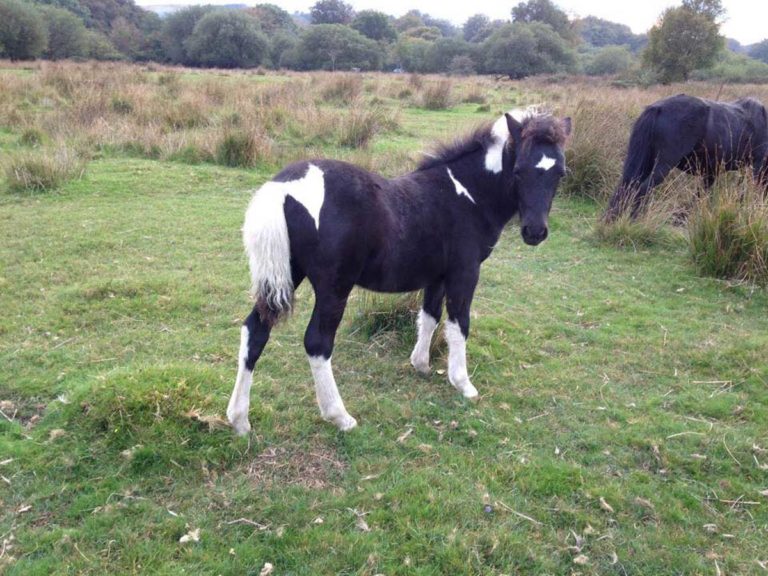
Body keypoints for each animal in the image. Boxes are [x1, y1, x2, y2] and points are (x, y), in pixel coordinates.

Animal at [226, 109, 572, 434]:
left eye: (560, 173)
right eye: (518, 171)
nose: (535, 232)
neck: (468, 194)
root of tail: (282, 188)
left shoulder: (437, 276)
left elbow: (430, 316)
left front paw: (421, 365)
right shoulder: (464, 272)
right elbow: (459, 324)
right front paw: (463, 384)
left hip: (288, 274)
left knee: (255, 330)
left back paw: (239, 420)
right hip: (334, 287)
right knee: (317, 343)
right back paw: (340, 417)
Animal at [605, 94, 768, 219]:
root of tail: (658, 108)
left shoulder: (710, 172)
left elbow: (700, 195)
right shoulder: (758, 167)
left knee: (627, 187)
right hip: (663, 165)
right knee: (643, 189)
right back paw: (635, 218)